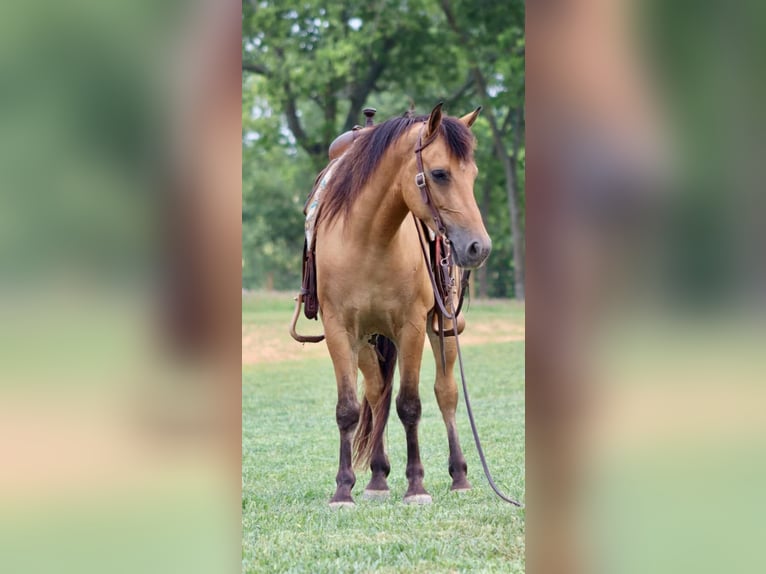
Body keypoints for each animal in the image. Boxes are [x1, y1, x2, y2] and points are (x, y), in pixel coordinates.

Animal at [311, 103, 491, 506]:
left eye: (472, 175)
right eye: (439, 173)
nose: (479, 247)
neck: (368, 241)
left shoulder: (411, 326)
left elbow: (410, 404)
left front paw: (417, 486)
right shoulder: (339, 328)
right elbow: (348, 409)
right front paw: (343, 489)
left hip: (443, 329)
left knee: (446, 394)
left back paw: (459, 476)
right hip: (367, 340)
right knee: (377, 394)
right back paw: (377, 479)